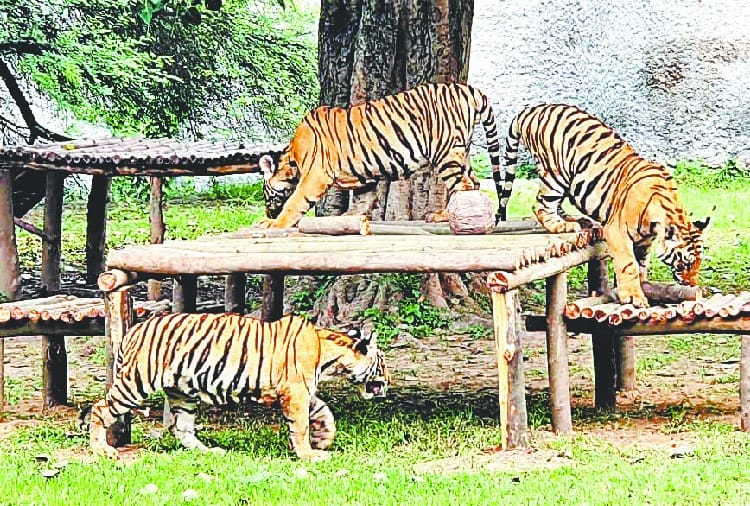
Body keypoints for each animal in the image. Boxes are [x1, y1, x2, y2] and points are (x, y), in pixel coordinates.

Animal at [88, 313, 388, 461]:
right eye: (383, 363)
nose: (387, 383)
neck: (328, 355)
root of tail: (133, 330)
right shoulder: (295, 392)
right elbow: (301, 426)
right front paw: (310, 455)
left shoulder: (301, 390)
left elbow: (323, 410)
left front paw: (325, 436)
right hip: (136, 382)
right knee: (100, 409)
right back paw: (102, 450)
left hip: (182, 393)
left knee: (182, 429)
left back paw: (209, 451)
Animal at [257, 82, 504, 228]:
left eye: (265, 193)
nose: (268, 212)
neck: (293, 157)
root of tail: (469, 90)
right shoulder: (364, 175)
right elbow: (362, 201)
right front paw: (349, 220)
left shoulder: (315, 176)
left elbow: (295, 201)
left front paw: (274, 224)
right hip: (462, 152)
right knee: (474, 182)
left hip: (447, 153)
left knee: (462, 185)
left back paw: (442, 216)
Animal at [500, 103, 709, 308]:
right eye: (685, 263)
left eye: (699, 263)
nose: (693, 285)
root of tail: (532, 108)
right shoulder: (617, 232)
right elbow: (629, 265)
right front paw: (634, 297)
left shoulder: (644, 243)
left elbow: (641, 265)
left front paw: (643, 286)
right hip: (556, 173)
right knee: (541, 205)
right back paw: (562, 225)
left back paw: (573, 219)